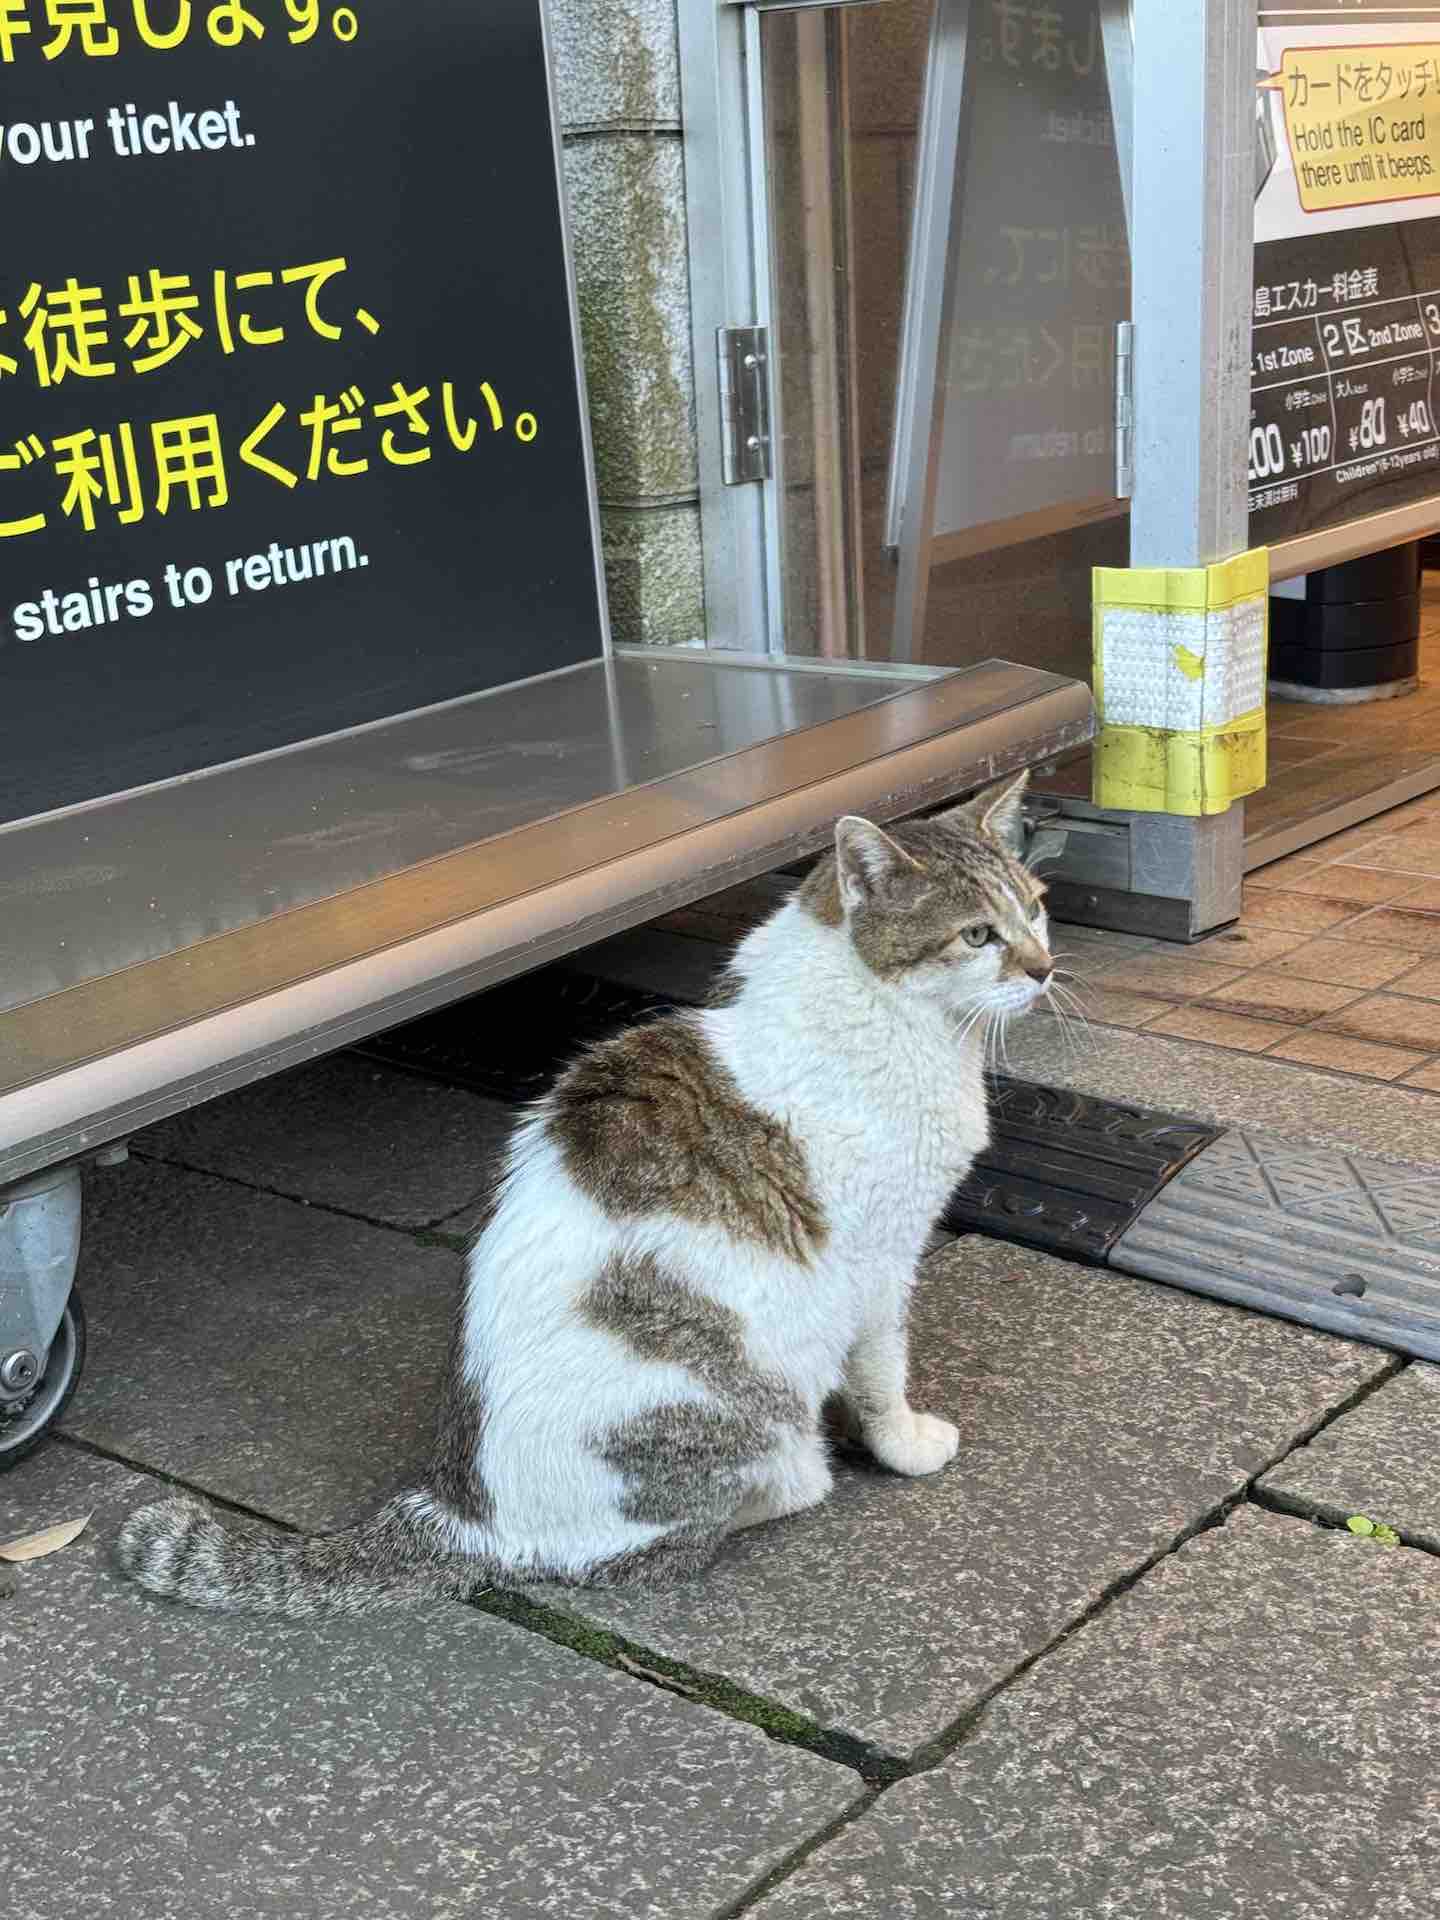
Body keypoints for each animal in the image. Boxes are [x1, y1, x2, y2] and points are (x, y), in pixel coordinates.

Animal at [118, 771, 1052, 1612]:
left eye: (1036, 907)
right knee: (655, 1545)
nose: (1045, 969)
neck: (889, 1012)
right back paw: (794, 1482)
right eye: (978, 934)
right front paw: (904, 1444)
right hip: (740, 1413)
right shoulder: (881, 1258)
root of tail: (462, 1510)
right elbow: (883, 1368)